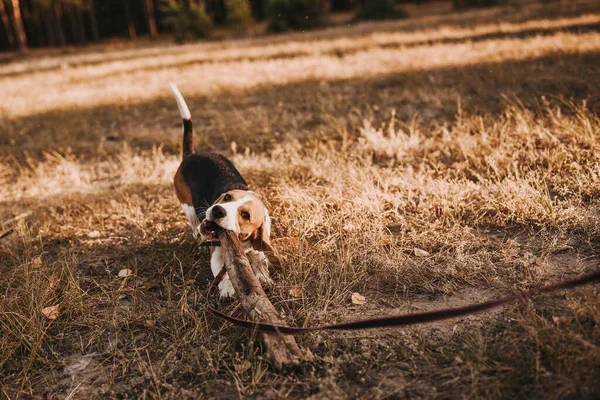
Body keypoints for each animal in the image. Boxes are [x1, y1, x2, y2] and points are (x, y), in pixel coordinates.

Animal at [171, 84, 278, 296]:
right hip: (188, 208)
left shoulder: (257, 248)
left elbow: (260, 261)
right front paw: (228, 288)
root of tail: (191, 155)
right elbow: (223, 272)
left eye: (245, 215)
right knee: (194, 225)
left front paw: (264, 277)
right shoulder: (218, 253)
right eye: (227, 197)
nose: (217, 210)